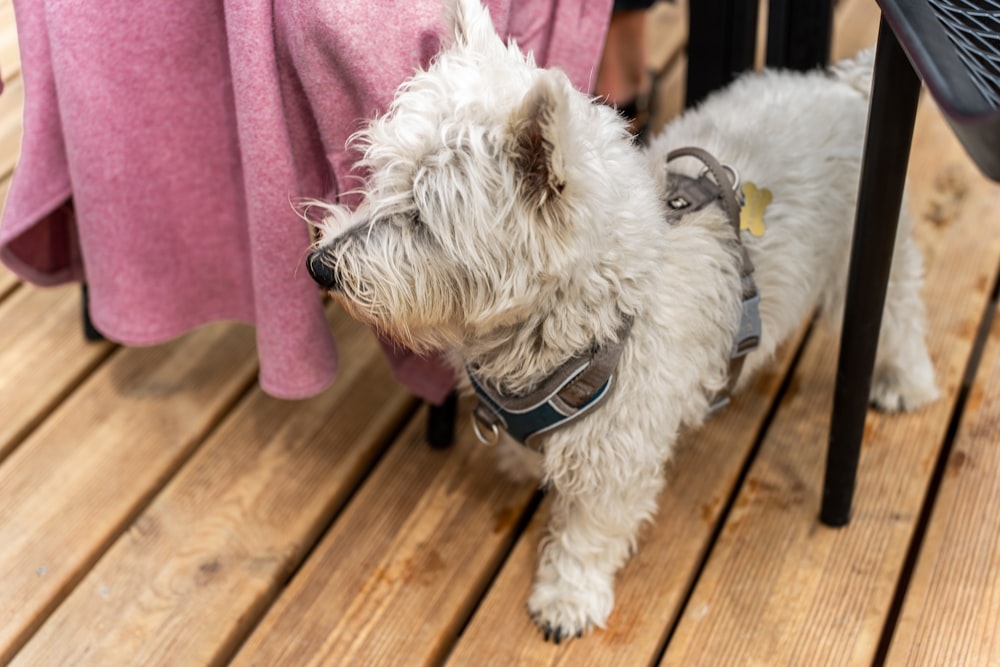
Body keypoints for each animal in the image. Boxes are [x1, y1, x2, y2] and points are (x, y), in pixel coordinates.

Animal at [304, 0, 936, 640]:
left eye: (422, 216)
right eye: (378, 177)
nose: (319, 266)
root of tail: (845, 88)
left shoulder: (618, 456)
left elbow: (588, 535)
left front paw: (566, 599)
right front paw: (518, 461)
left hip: (869, 263)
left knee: (901, 313)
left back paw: (904, 383)